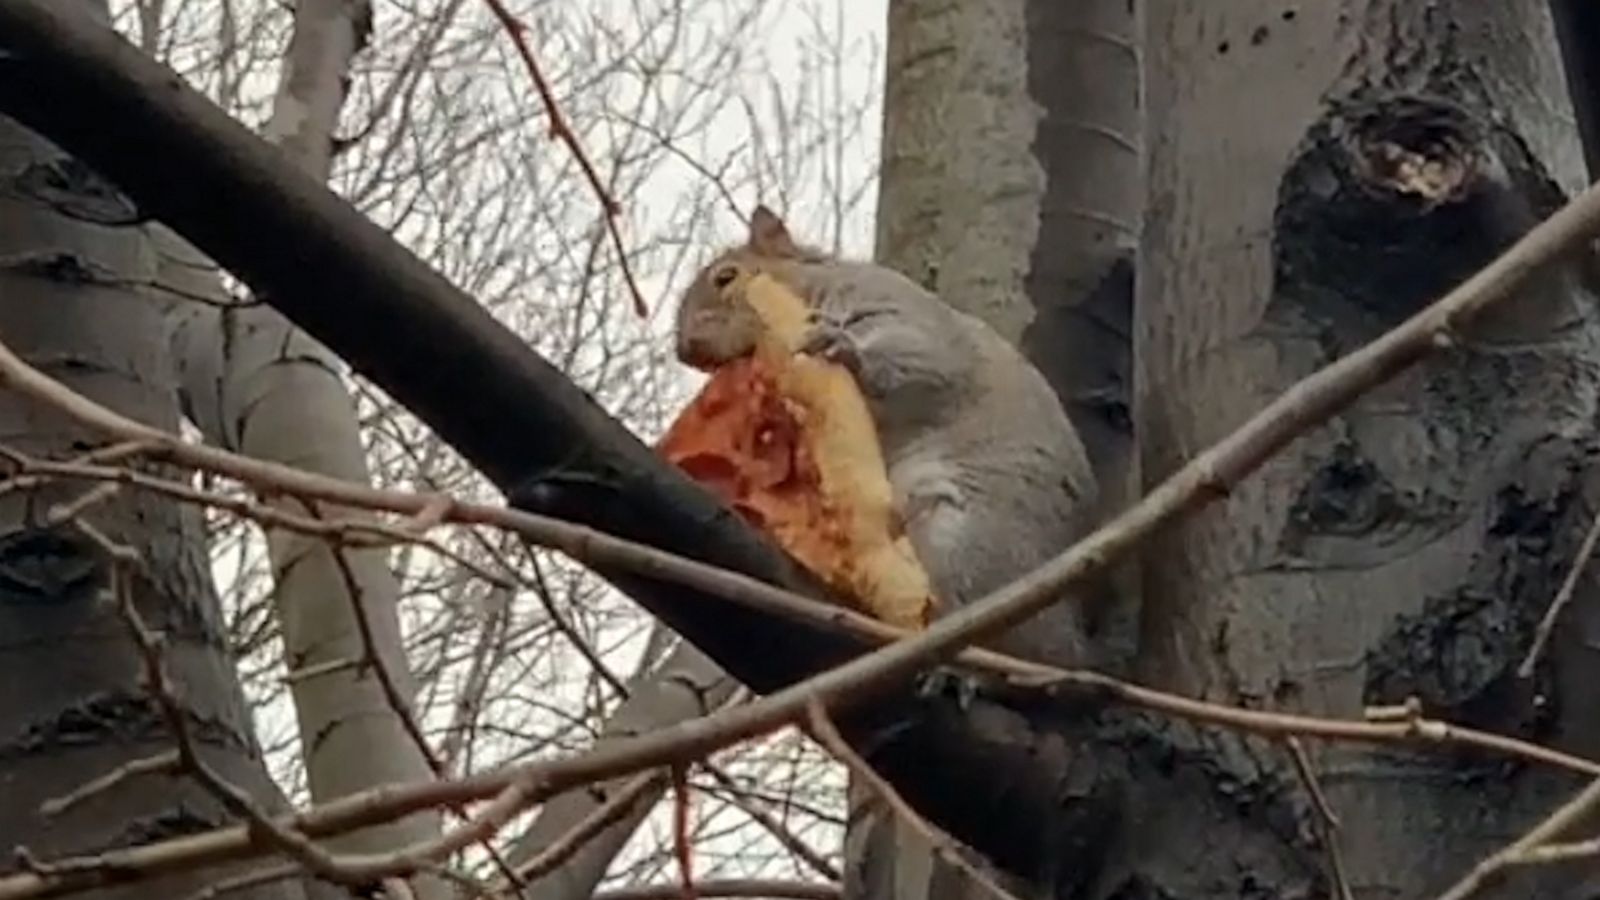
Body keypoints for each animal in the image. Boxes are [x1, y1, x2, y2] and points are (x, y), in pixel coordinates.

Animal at [672, 204, 1100, 666]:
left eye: (726, 277)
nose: (684, 350)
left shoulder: (897, 313)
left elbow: (920, 358)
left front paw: (843, 347)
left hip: (962, 541)